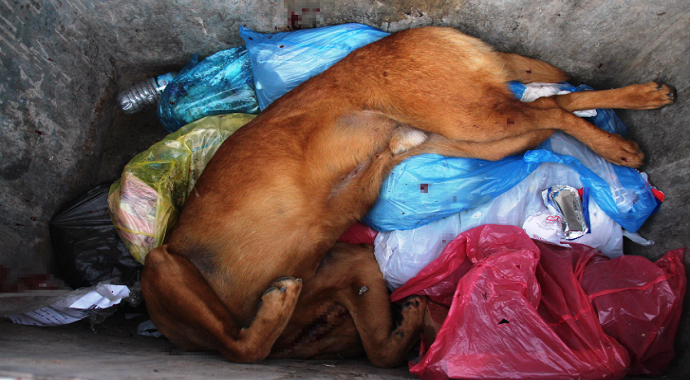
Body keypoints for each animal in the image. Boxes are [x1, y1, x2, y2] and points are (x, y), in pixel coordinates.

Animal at [140, 26, 672, 366]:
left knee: (552, 108)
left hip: (470, 115)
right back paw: (639, 101)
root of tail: (418, 32)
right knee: (556, 103)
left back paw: (620, 145)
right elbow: (377, 352)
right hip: (480, 136)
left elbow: (242, 348)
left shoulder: (162, 264)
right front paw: (410, 325)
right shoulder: (354, 266)